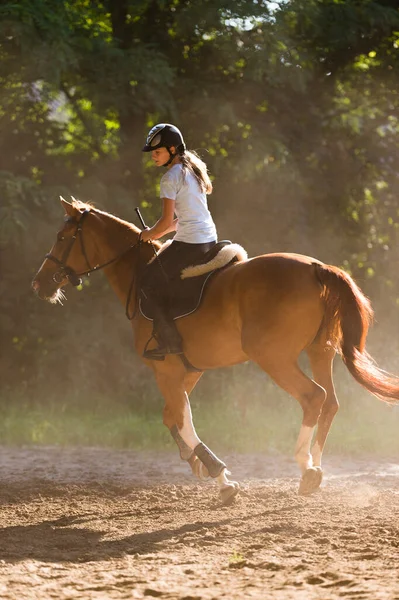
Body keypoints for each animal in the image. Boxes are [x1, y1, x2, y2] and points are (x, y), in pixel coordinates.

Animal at [32, 199, 399, 504]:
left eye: (62, 237)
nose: (39, 283)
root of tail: (315, 267)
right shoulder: (189, 370)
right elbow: (172, 417)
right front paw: (198, 465)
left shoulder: (167, 371)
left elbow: (182, 420)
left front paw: (219, 476)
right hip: (319, 351)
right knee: (331, 403)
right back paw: (316, 469)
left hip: (274, 358)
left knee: (314, 397)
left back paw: (305, 466)